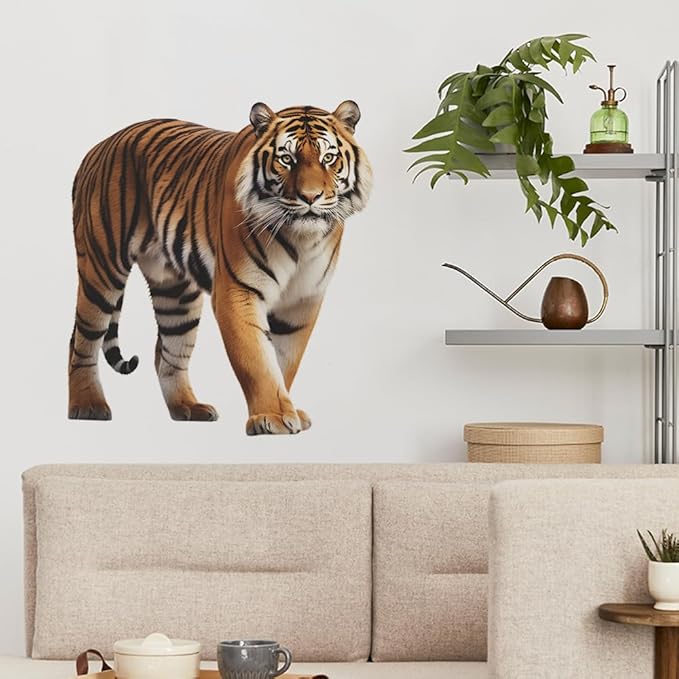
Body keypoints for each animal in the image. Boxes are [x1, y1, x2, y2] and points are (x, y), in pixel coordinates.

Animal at [68, 101, 372, 434]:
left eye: (328, 158)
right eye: (286, 159)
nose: (310, 197)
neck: (301, 239)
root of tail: (98, 147)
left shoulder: (302, 300)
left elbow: (285, 360)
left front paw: (288, 410)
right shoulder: (238, 291)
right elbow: (257, 359)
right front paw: (273, 416)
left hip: (176, 293)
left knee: (167, 352)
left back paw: (188, 407)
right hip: (102, 268)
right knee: (81, 340)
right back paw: (88, 406)